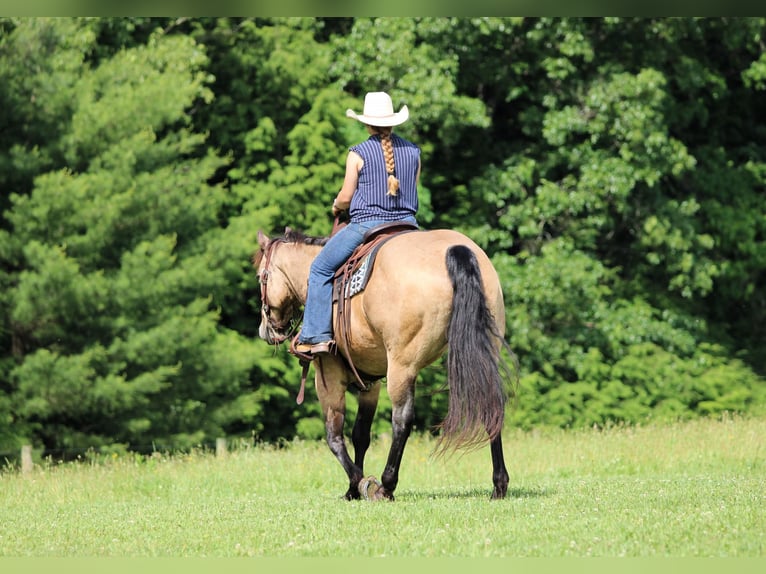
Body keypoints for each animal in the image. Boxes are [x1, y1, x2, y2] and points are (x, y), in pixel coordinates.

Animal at [253, 226, 517, 500]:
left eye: (261, 276)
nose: (265, 330)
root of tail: (456, 250)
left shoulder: (328, 373)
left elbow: (334, 435)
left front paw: (360, 483)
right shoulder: (371, 382)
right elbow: (360, 434)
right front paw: (353, 489)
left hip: (402, 367)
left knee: (402, 420)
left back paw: (386, 485)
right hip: (484, 352)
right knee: (491, 406)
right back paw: (499, 485)